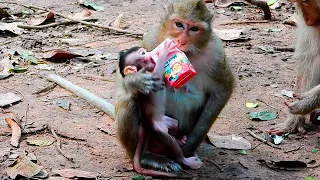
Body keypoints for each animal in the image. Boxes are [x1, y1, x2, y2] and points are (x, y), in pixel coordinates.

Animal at [119, 46, 204, 174]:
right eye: (143, 53)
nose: (150, 52)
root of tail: (147, 124)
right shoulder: (148, 77)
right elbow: (157, 76)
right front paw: (164, 51)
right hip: (158, 130)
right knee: (169, 141)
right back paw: (185, 160)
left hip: (167, 121)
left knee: (174, 124)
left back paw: (179, 140)